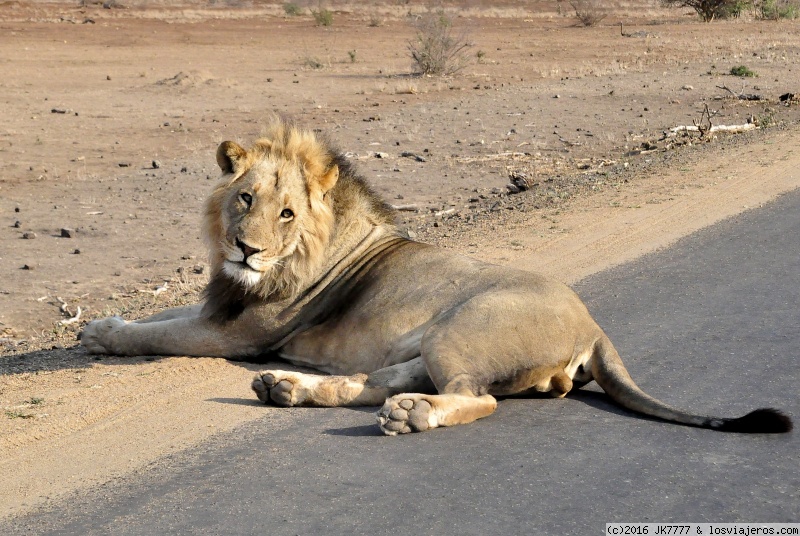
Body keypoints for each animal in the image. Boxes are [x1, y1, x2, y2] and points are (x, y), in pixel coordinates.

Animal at [78, 118, 792, 436]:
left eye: (286, 212)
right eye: (245, 199)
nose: (246, 250)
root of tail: (593, 325)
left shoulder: (239, 332)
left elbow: (157, 335)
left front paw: (102, 335)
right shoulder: (219, 306)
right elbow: (161, 316)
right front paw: (99, 323)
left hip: (459, 329)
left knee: (475, 398)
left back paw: (411, 416)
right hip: (427, 344)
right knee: (373, 383)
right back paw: (289, 389)